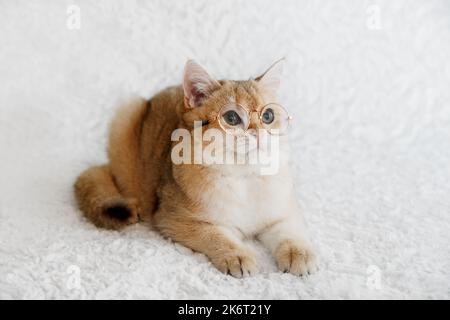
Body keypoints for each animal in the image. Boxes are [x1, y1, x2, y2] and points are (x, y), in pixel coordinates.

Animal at [74, 60, 318, 278]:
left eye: (268, 116)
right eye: (232, 117)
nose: (259, 134)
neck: (244, 177)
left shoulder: (284, 213)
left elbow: (291, 233)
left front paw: (299, 254)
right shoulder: (174, 220)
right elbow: (216, 236)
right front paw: (237, 255)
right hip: (127, 112)